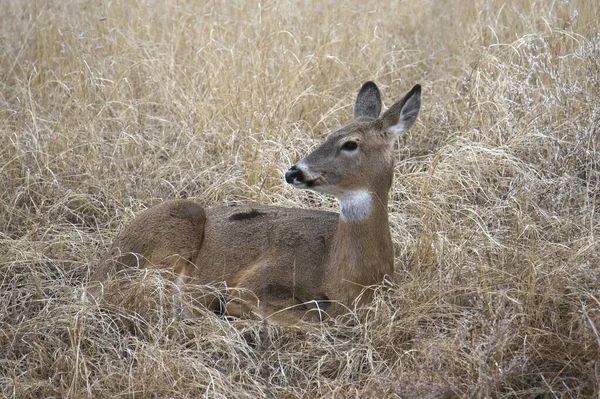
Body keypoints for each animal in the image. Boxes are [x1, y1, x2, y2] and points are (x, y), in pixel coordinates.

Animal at [90, 81, 422, 324]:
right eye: (328, 135)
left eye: (351, 143)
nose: (293, 171)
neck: (347, 279)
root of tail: (101, 267)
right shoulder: (258, 278)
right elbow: (310, 320)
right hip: (178, 226)